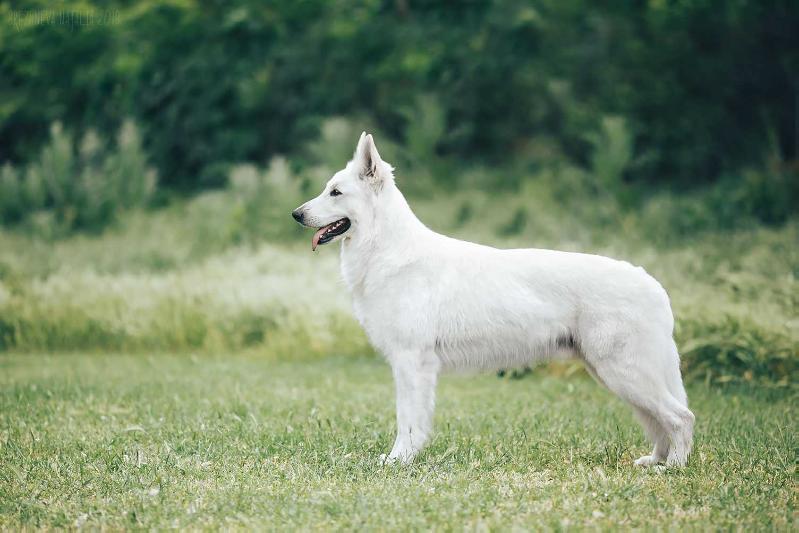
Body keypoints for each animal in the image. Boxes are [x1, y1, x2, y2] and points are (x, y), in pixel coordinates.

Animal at [292, 132, 692, 466]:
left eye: (335, 193)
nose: (296, 214)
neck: (387, 250)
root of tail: (651, 282)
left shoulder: (411, 362)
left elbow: (407, 420)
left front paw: (397, 462)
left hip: (625, 372)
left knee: (680, 417)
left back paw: (674, 467)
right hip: (614, 375)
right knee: (661, 421)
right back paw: (655, 461)